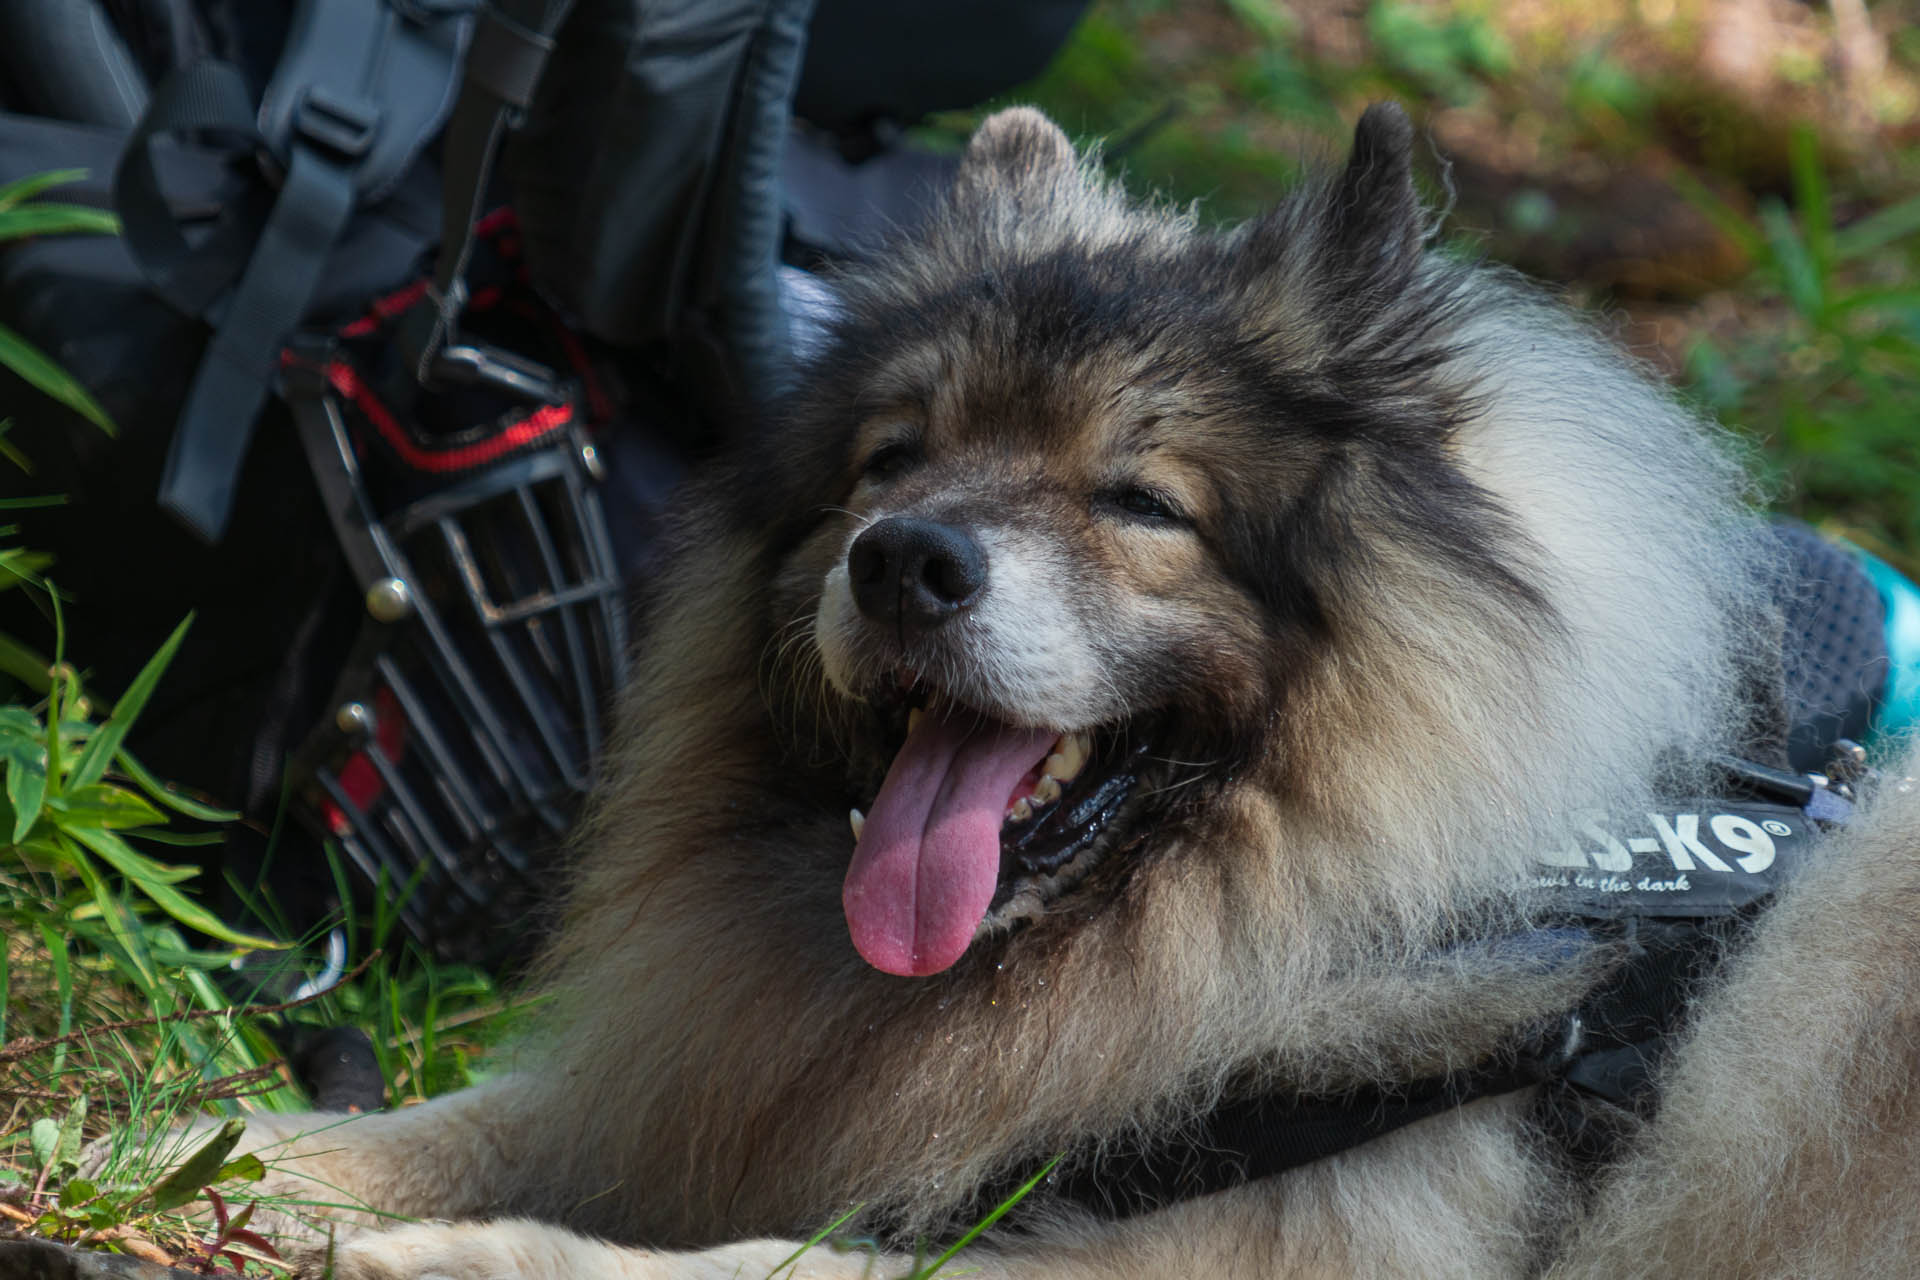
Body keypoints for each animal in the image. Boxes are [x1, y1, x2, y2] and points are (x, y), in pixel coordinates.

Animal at [228, 102, 1920, 1280]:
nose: (905, 563)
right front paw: (248, 1144)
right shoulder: (717, 1077)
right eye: (890, 463)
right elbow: (501, 1111)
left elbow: (789, 1263)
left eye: (1143, 505)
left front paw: (464, 1253)